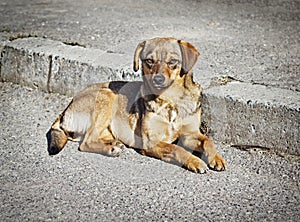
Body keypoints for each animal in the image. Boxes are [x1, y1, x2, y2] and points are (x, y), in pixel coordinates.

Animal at [46, 37, 225, 173]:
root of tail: (65, 111)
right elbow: (176, 149)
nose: (158, 79)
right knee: (85, 143)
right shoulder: (151, 142)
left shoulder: (190, 134)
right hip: (107, 95)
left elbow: (208, 140)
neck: (171, 101)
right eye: (149, 61)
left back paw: (112, 145)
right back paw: (111, 149)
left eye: (173, 61)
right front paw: (195, 161)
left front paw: (216, 158)